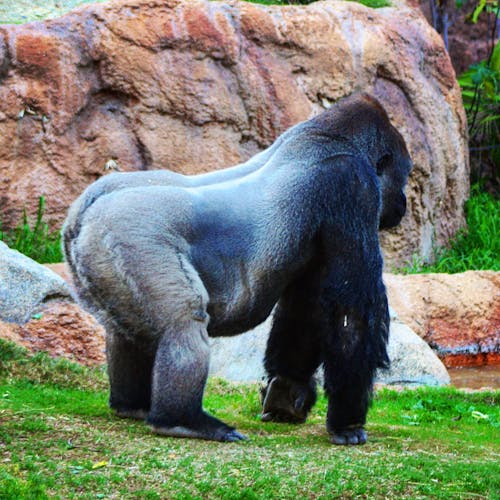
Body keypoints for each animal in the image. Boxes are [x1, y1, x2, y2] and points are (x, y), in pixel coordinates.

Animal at [64, 94, 412, 446]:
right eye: (404, 175)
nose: (404, 202)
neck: (328, 138)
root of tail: (84, 210)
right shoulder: (354, 186)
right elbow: (350, 314)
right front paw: (348, 422)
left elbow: (306, 310)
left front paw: (287, 392)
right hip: (132, 235)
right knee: (183, 322)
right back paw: (181, 420)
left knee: (125, 330)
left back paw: (131, 405)